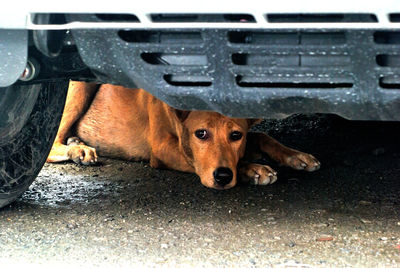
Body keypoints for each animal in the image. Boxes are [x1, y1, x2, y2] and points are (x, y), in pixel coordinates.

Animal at [47, 81, 322, 188]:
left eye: (236, 135)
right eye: (201, 134)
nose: (223, 176)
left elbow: (263, 136)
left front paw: (296, 156)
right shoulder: (163, 149)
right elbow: (198, 161)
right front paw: (252, 169)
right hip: (80, 87)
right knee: (52, 145)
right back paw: (78, 149)